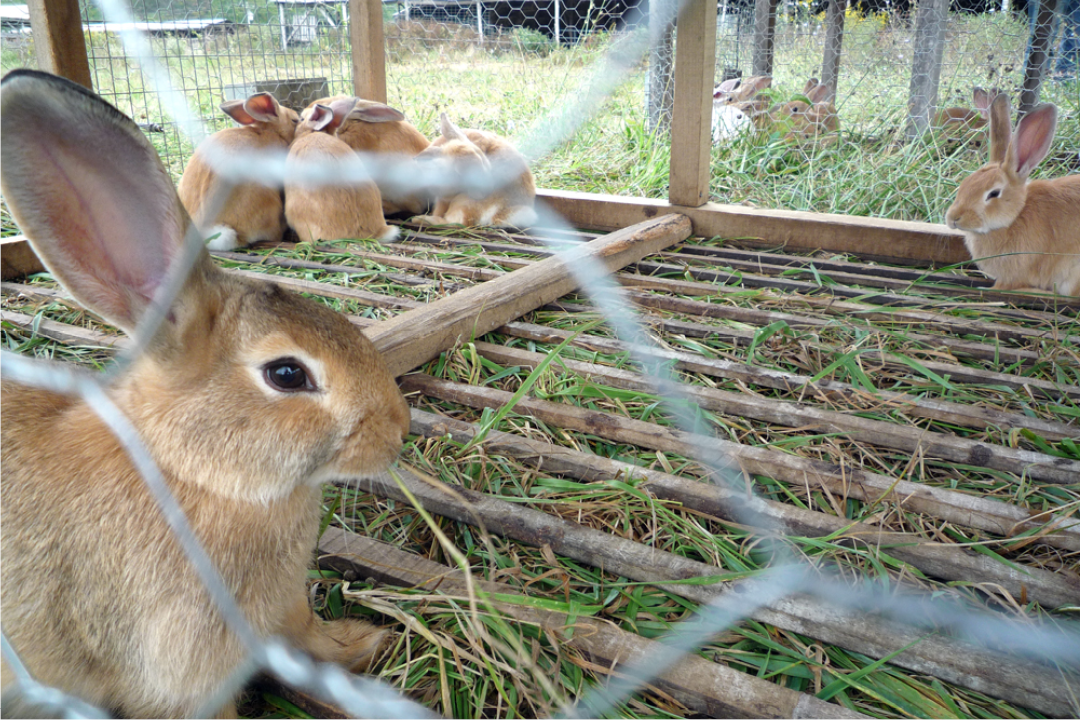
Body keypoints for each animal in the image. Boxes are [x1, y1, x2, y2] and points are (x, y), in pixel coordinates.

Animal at [944, 95, 1080, 295]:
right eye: (965, 183)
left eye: (993, 193)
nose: (953, 218)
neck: (1014, 216)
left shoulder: (1016, 273)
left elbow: (1005, 285)